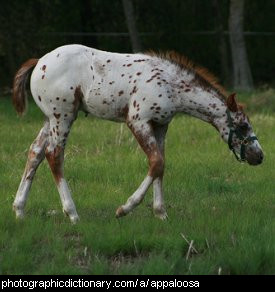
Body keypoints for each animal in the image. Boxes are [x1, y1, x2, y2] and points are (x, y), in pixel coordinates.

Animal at [11, 44, 266, 222]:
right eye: (243, 126)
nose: (259, 156)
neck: (170, 84)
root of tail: (39, 62)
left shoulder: (160, 125)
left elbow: (161, 165)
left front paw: (161, 213)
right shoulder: (137, 120)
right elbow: (156, 162)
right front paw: (124, 209)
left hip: (50, 119)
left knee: (35, 152)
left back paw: (19, 210)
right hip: (62, 116)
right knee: (54, 155)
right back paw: (72, 213)